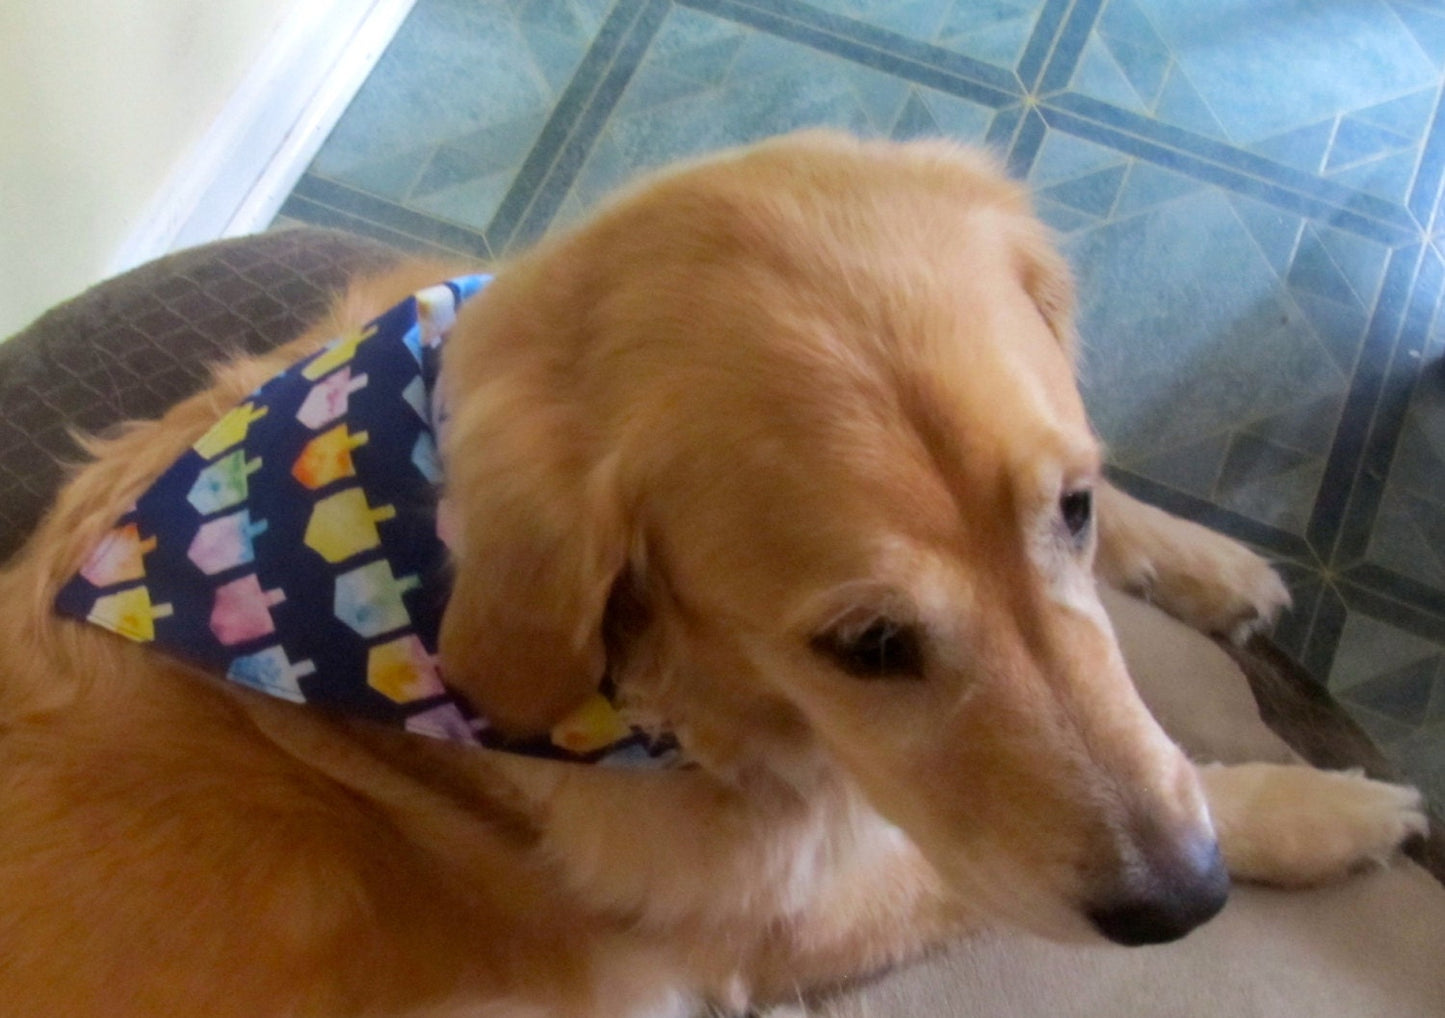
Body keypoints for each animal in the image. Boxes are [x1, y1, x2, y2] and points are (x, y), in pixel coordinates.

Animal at [0, 135, 1421, 1018]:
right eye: (866, 646)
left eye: (1064, 510)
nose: (1182, 901)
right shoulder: (790, 914)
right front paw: (1323, 809)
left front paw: (1203, 558)